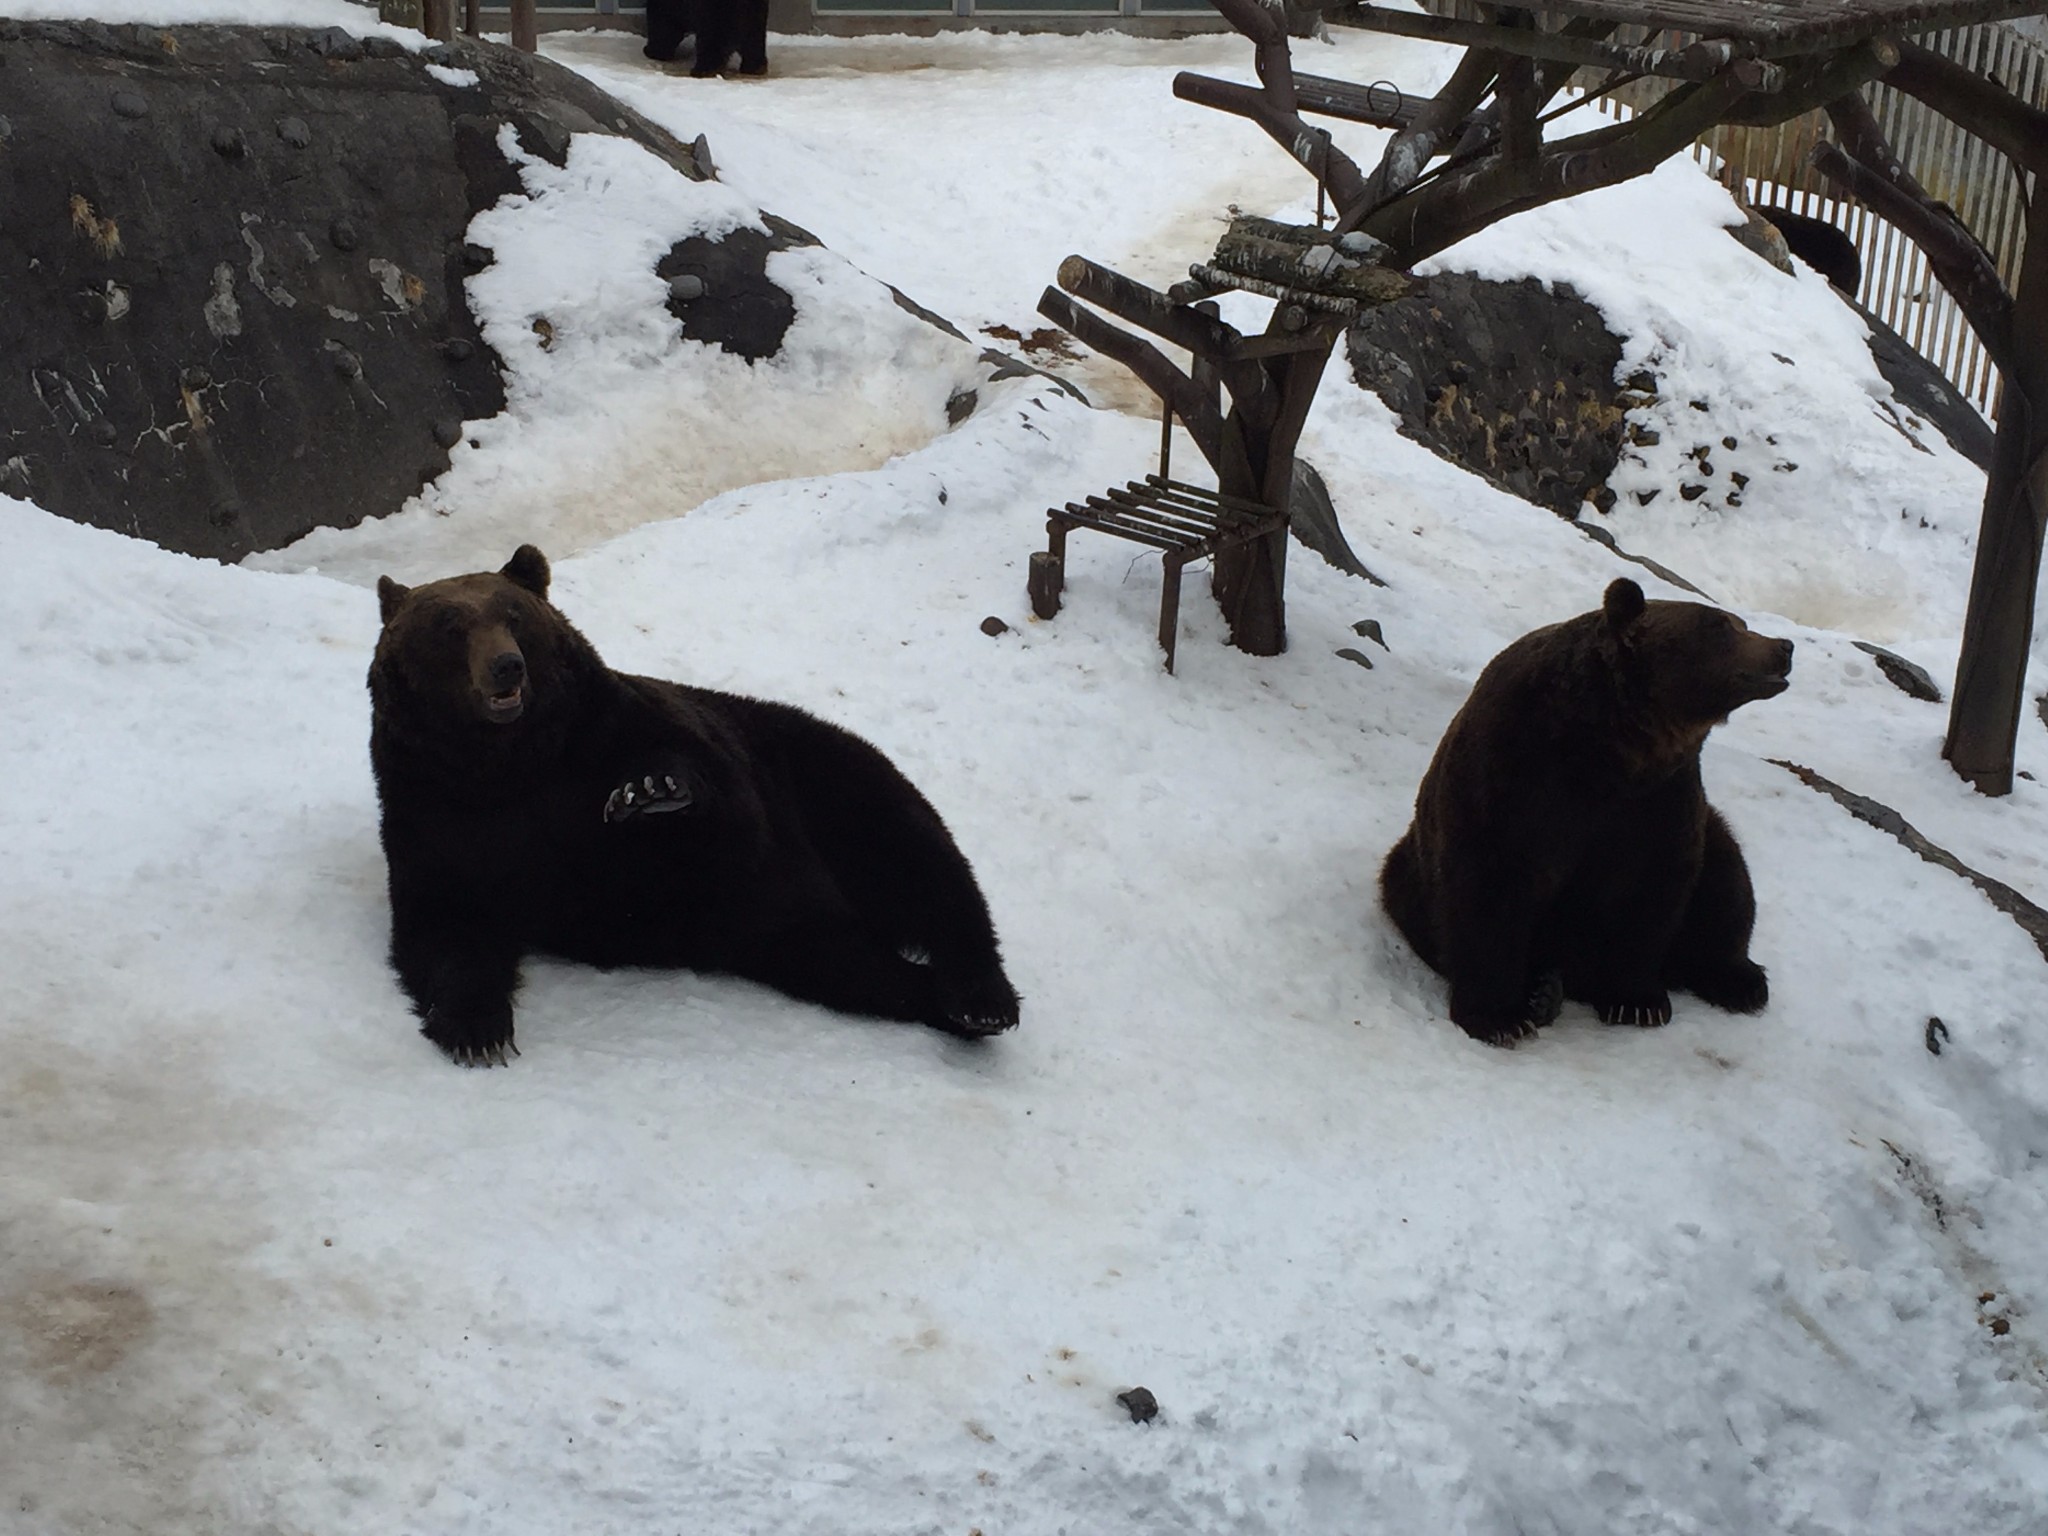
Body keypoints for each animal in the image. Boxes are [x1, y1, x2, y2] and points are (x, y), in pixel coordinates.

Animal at [370, 548, 1024, 1064]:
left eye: (513, 614)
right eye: (449, 624)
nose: (507, 667)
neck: (511, 764)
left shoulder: (615, 736)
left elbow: (727, 820)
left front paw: (651, 792)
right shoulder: (433, 808)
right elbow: (442, 922)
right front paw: (476, 1028)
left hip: (829, 782)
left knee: (922, 864)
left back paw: (982, 998)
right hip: (792, 933)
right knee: (859, 968)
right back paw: (937, 999)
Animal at [1376, 577, 1794, 1048]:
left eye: (1739, 623)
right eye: (1719, 625)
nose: (1784, 647)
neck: (1607, 753)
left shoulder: (1658, 801)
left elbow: (1650, 891)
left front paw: (1636, 1001)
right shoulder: (1512, 778)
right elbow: (1487, 886)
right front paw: (1498, 1016)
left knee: (1726, 879)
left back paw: (1739, 981)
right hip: (1409, 875)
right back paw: (1543, 991)